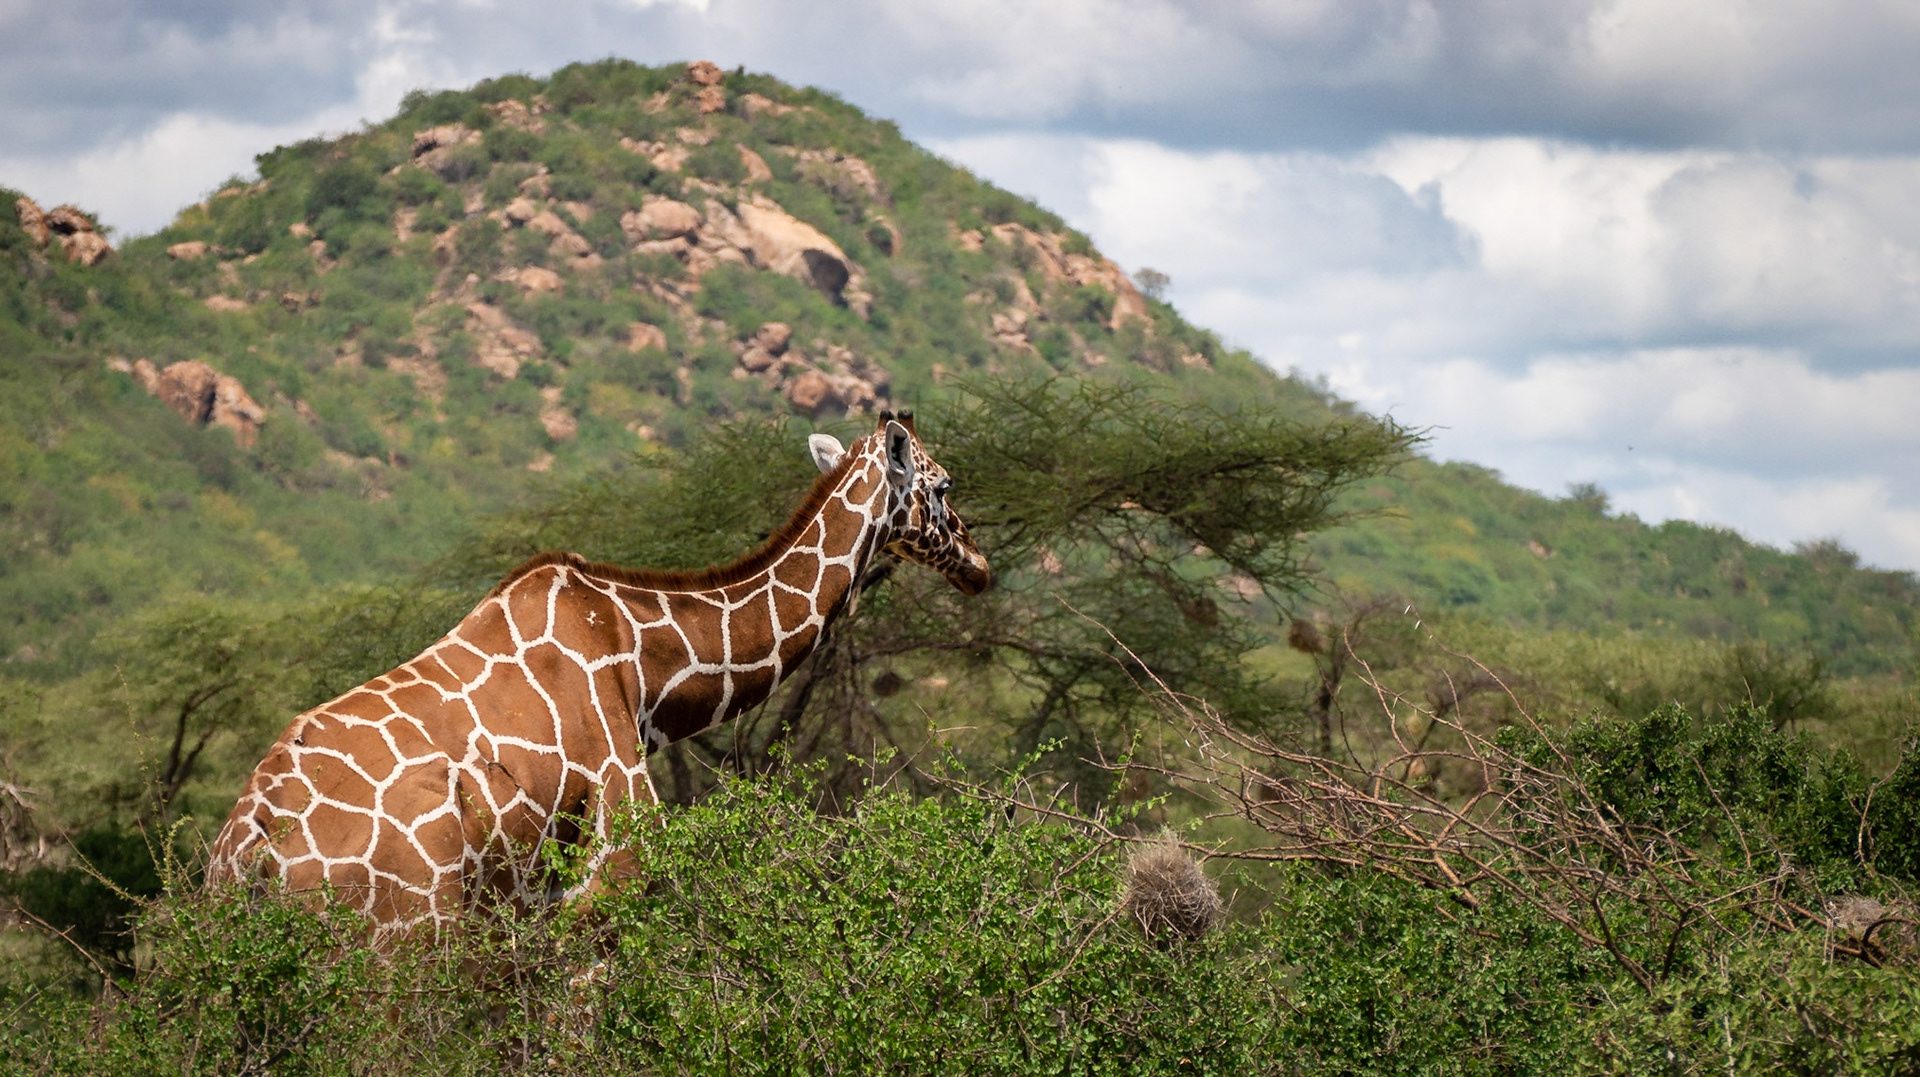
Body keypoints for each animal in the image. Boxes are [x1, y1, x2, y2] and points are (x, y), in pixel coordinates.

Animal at [205, 413, 989, 931]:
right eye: (945, 487)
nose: (980, 566)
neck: (642, 671)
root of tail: (246, 857)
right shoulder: (616, 866)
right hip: (409, 935)